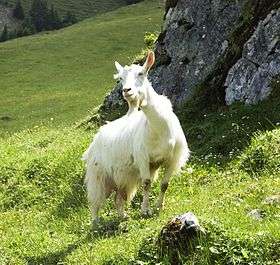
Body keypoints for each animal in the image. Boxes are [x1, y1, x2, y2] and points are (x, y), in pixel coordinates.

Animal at [82, 50, 189, 220]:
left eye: (141, 73)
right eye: (120, 79)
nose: (127, 91)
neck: (160, 128)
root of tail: (98, 135)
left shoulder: (173, 159)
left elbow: (164, 185)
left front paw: (159, 207)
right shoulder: (143, 158)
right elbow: (146, 183)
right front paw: (145, 210)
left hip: (122, 176)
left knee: (118, 197)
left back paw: (123, 216)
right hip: (98, 173)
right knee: (94, 200)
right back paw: (95, 222)